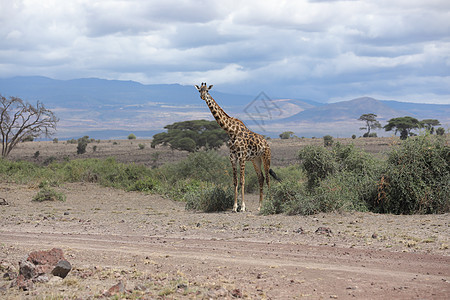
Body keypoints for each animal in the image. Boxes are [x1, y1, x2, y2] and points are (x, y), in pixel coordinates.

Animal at [194, 83, 280, 212]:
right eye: (199, 90)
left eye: (207, 91)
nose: (202, 96)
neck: (231, 131)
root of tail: (266, 143)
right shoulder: (233, 157)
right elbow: (235, 181)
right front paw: (234, 207)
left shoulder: (242, 157)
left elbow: (242, 180)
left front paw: (243, 207)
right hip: (256, 160)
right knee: (261, 178)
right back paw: (259, 206)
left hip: (266, 158)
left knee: (268, 179)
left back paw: (269, 203)